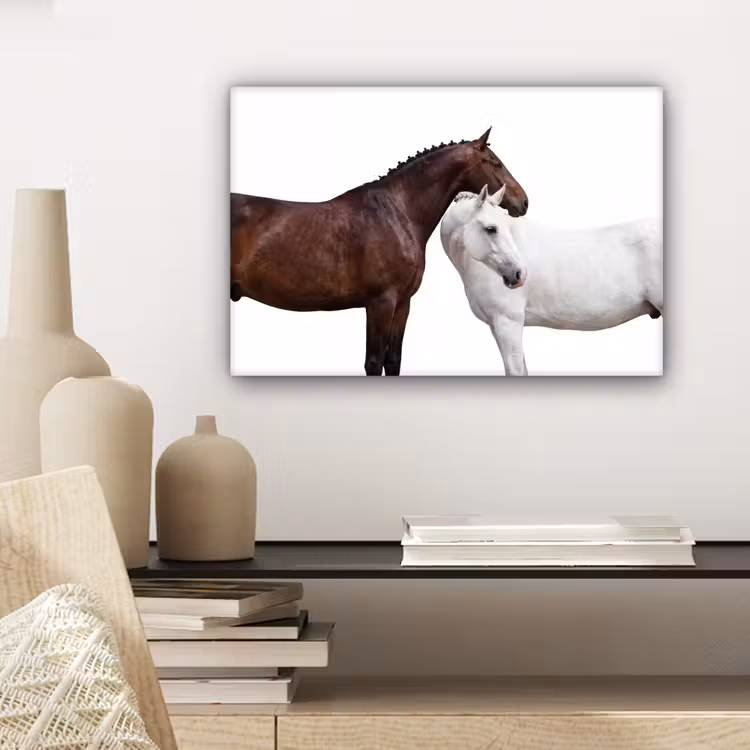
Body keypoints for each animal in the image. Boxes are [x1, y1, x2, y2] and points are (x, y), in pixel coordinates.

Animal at [230, 127, 529, 376]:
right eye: (495, 163)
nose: (524, 202)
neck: (397, 213)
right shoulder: (380, 303)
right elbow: (373, 363)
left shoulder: (402, 303)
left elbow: (393, 360)